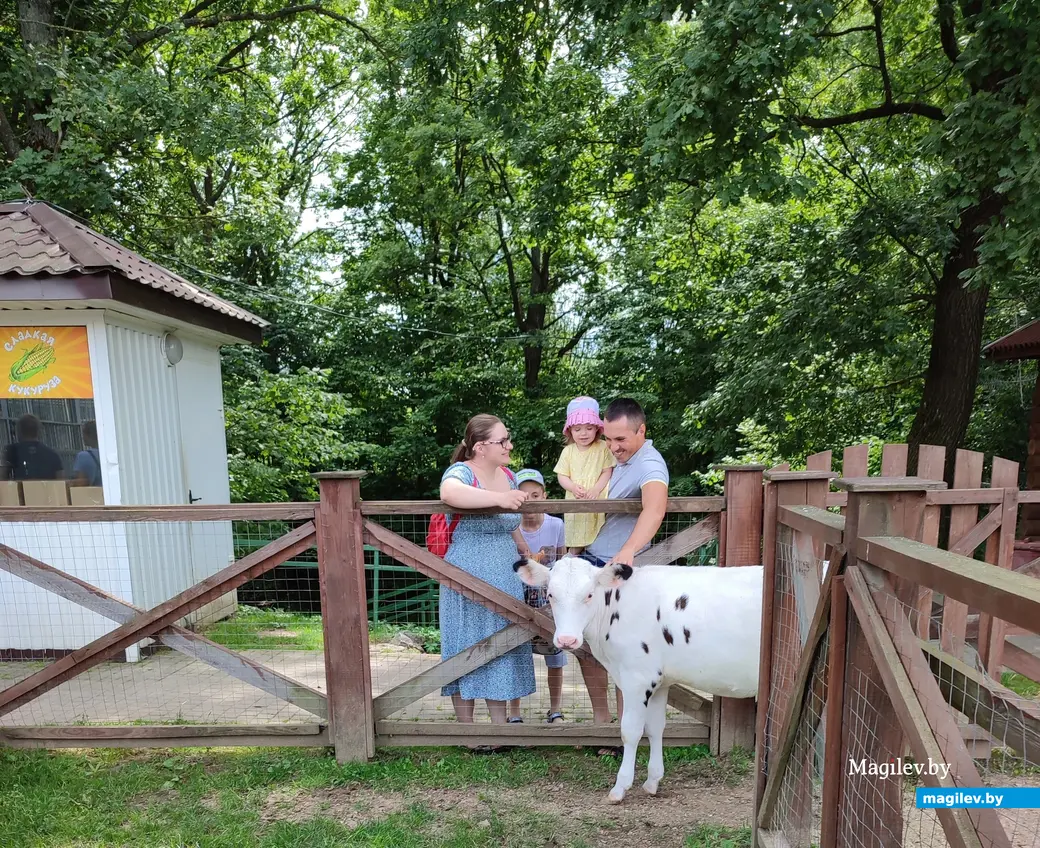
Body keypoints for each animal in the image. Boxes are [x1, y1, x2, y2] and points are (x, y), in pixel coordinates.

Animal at [513, 553, 765, 807]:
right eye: (550, 595)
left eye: (589, 594)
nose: (567, 640)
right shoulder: (660, 681)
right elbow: (655, 727)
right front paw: (652, 781)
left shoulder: (637, 678)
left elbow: (631, 731)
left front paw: (619, 788)